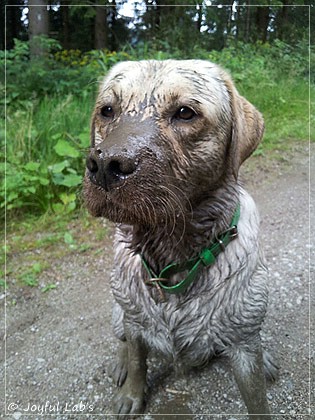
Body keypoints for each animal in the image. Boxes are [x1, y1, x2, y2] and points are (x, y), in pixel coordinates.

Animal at [84, 60, 278, 418]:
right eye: (107, 110)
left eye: (186, 113)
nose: (104, 165)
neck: (172, 259)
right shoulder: (134, 323)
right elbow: (137, 361)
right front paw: (131, 394)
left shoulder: (245, 345)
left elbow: (256, 398)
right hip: (119, 313)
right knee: (123, 345)